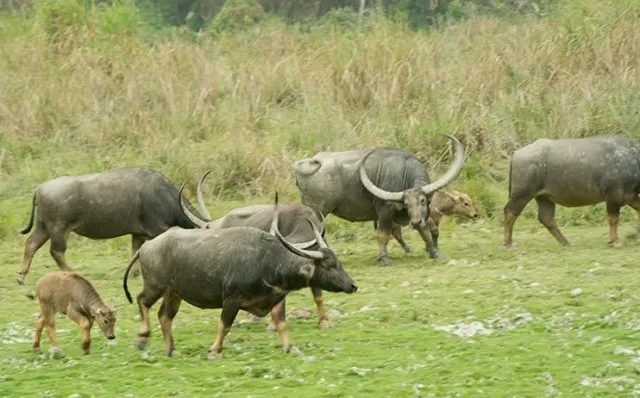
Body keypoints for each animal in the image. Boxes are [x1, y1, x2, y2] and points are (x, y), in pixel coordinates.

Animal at [17, 168, 206, 286]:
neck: (164, 197)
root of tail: (40, 188)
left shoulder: (137, 233)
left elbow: (136, 251)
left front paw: (134, 274)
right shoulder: (158, 230)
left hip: (44, 227)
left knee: (31, 243)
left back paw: (21, 277)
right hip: (58, 228)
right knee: (56, 251)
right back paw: (72, 274)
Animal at [122, 194, 358, 360]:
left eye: (338, 262)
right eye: (329, 265)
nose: (353, 285)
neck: (269, 261)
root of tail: (147, 247)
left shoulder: (276, 298)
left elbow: (281, 323)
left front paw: (290, 347)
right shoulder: (231, 300)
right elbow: (224, 325)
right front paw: (215, 351)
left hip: (174, 293)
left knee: (165, 316)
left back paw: (171, 350)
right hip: (155, 286)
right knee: (143, 301)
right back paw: (142, 338)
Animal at [292, 133, 462, 264]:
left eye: (422, 200)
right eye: (406, 203)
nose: (414, 222)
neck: (404, 173)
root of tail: (307, 163)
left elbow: (428, 230)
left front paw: (433, 252)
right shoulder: (385, 212)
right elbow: (384, 235)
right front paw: (383, 258)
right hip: (318, 210)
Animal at [504, 135, 640, 247]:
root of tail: (516, 153)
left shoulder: (631, 196)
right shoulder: (613, 195)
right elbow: (613, 219)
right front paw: (616, 241)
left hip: (544, 197)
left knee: (546, 218)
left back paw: (564, 242)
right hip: (522, 194)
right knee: (510, 211)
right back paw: (508, 244)